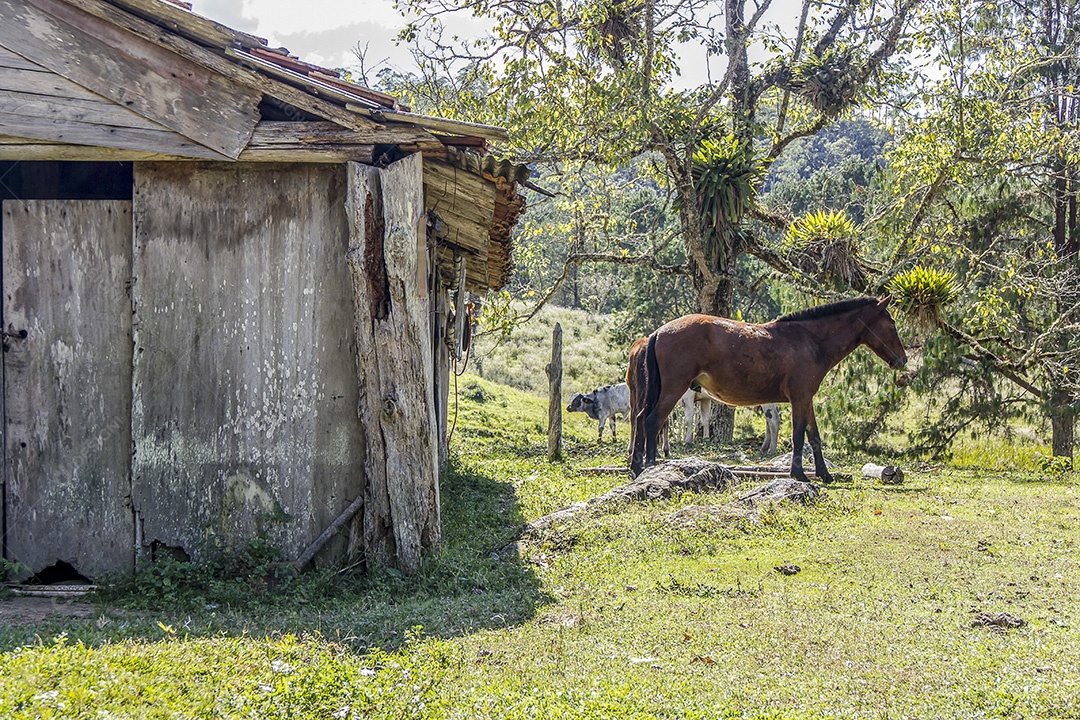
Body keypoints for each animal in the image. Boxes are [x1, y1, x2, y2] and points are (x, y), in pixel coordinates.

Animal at [629, 296, 907, 482]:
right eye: (892, 324)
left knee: (641, 420)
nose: (902, 360)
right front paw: (799, 474)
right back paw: (649, 466)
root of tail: (658, 332)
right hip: (673, 390)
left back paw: (637, 467)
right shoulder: (800, 398)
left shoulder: (807, 398)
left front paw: (824, 474)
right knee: (652, 421)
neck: (809, 341)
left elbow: (814, 436)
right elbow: (798, 435)